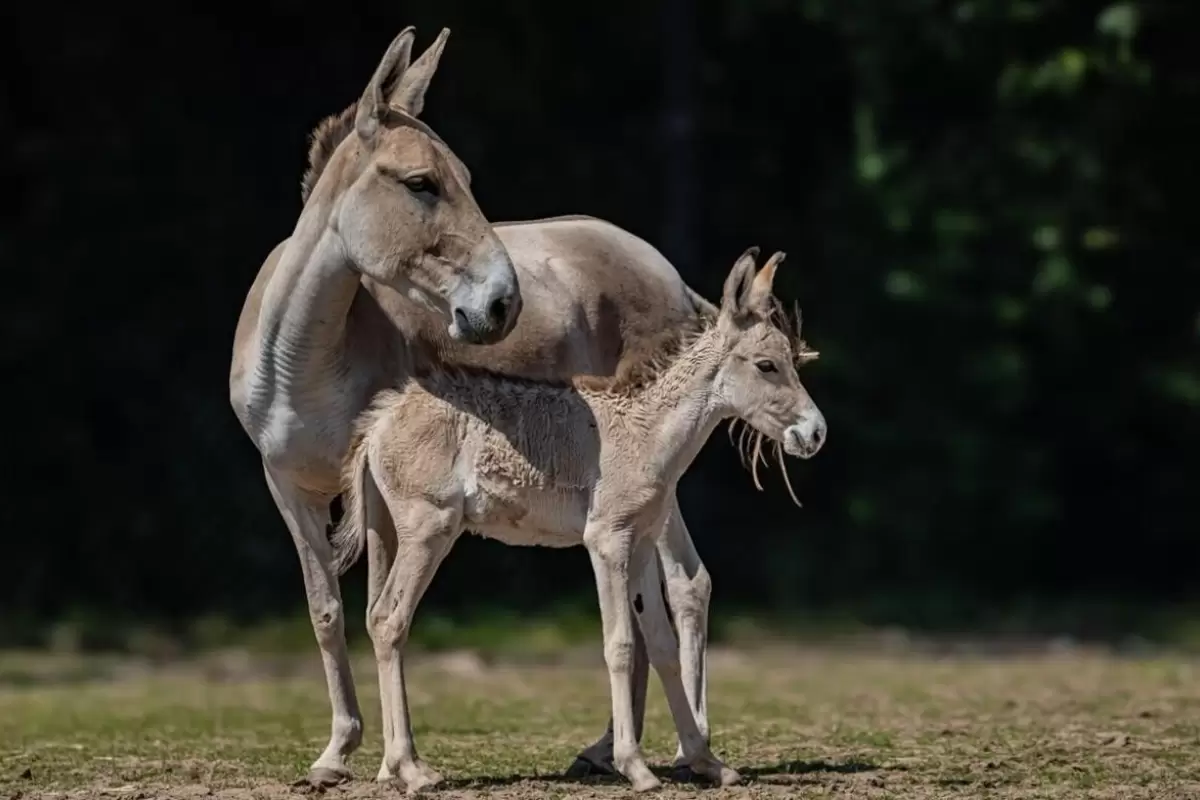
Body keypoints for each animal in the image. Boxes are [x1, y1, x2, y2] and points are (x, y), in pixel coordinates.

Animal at [333, 248, 830, 786]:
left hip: (388, 532)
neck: (645, 432)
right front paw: (636, 767)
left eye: (790, 360)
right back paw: (413, 768)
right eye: (767, 364)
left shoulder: (641, 544)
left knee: (377, 618)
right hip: (429, 529)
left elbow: (661, 645)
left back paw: (391, 769)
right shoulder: (607, 542)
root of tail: (380, 421)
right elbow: (620, 645)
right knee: (389, 620)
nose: (815, 433)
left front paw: (705, 760)